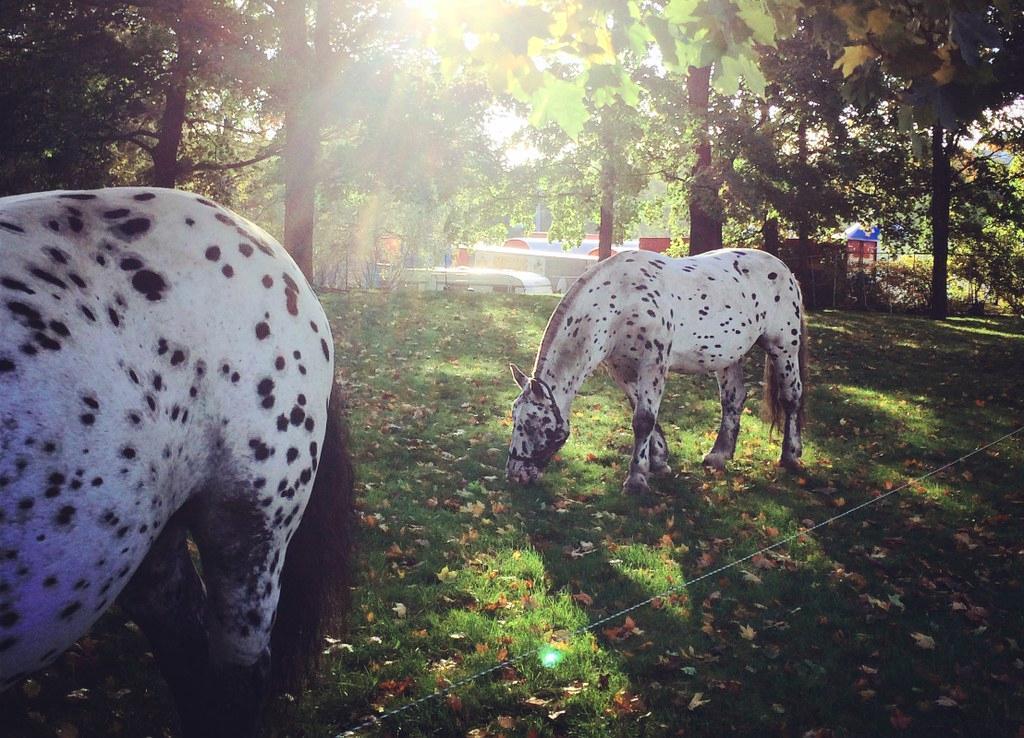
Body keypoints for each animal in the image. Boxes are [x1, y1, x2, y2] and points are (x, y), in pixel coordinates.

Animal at [505, 248, 806, 495]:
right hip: (728, 357)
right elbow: (642, 413)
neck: (621, 300)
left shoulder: (654, 365)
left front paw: (637, 478)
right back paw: (719, 456)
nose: (516, 474)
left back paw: (790, 456)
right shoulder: (622, 370)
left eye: (532, 424)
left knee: (791, 398)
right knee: (733, 399)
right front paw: (659, 461)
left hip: (784, 348)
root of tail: (785, 270)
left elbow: (643, 420)